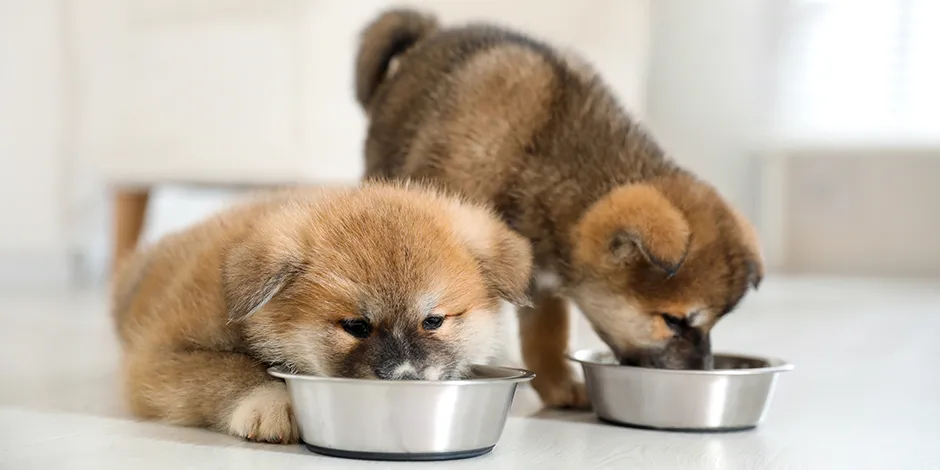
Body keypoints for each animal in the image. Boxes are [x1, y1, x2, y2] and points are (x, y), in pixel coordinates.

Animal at [112, 182, 528, 442]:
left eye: (433, 321)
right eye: (356, 326)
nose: (405, 380)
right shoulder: (160, 356)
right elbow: (230, 369)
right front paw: (271, 400)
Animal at [352, 9, 764, 410]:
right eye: (673, 320)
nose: (703, 371)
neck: (536, 156)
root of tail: (432, 33)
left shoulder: (543, 286)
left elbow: (546, 339)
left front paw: (560, 390)